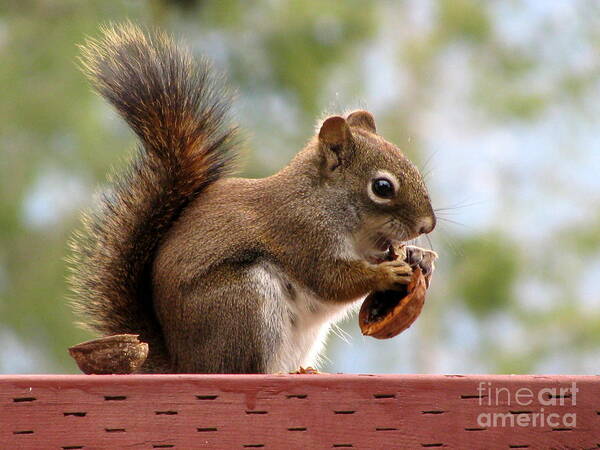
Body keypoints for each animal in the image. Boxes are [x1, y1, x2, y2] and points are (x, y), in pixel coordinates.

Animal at [69, 23, 436, 376]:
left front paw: (421, 257)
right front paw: (386, 274)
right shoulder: (301, 234)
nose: (427, 225)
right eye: (382, 187)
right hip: (243, 301)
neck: (328, 204)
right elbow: (332, 280)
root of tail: (183, 363)